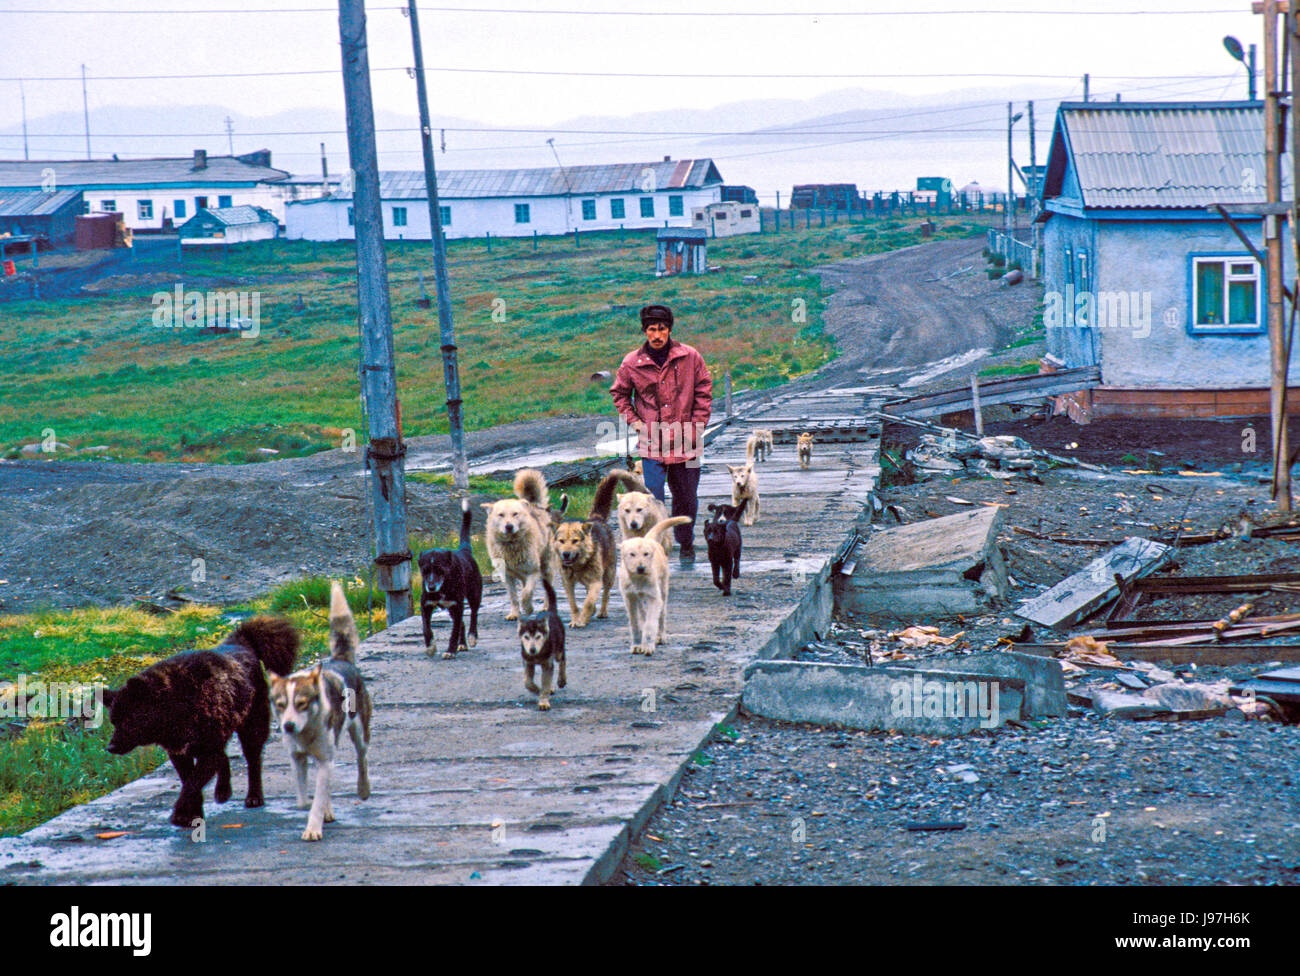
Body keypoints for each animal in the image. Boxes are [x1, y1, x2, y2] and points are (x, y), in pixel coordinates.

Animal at [101, 613, 299, 826]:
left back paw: (254, 797)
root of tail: (240, 642)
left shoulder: (207, 749)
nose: (110, 747)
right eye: (113, 722)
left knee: (253, 762)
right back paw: (223, 791)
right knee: (224, 758)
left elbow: (192, 784)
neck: (176, 700)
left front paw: (181, 813)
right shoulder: (181, 753)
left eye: (129, 720)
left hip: (251, 729)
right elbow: (190, 782)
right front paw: (193, 814)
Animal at [269, 584, 371, 842]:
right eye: (281, 704)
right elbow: (305, 800)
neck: (306, 732)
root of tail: (341, 660)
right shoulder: (297, 758)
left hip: (359, 732)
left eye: (302, 703)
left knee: (362, 758)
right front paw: (321, 810)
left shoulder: (326, 758)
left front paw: (313, 828)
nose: (288, 726)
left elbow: (316, 799)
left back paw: (363, 788)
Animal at [418, 499, 486, 660]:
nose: (431, 587)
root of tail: (464, 550)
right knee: (461, 622)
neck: (443, 587)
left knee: (473, 615)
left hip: (474, 595)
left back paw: (472, 637)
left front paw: (450, 650)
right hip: (452, 608)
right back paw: (463, 644)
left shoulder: (457, 604)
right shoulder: (426, 604)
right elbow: (426, 628)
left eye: (440, 570)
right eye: (424, 571)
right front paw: (430, 647)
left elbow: (454, 631)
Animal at [480, 470, 556, 621]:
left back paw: (545, 607)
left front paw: (528, 608)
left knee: (547, 589)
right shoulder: (507, 576)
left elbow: (526, 593)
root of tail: (532, 504)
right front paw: (515, 614)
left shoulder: (533, 571)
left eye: (515, 514)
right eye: (501, 515)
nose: (509, 526)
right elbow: (514, 597)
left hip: (546, 567)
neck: (511, 545)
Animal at [616, 514, 691, 660]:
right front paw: (637, 645)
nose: (641, 568)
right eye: (632, 554)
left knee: (661, 615)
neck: (638, 579)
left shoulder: (654, 599)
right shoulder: (630, 599)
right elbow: (634, 623)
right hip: (640, 599)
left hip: (663, 591)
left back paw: (661, 636)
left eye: (646, 554)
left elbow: (650, 624)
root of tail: (649, 539)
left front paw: (648, 647)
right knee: (643, 614)